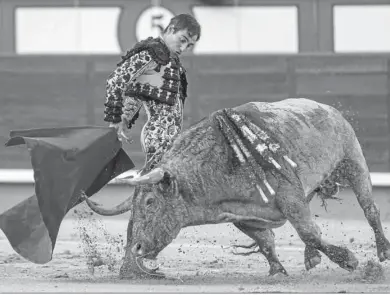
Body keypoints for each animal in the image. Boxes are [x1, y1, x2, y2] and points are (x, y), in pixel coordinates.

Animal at [80, 98, 388, 278]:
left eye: (150, 203)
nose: (137, 247)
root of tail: (328, 108)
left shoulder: (289, 195)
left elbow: (308, 231)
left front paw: (349, 260)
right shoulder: (241, 215)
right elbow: (266, 240)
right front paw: (278, 270)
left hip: (353, 161)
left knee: (370, 210)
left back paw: (382, 251)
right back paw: (310, 258)